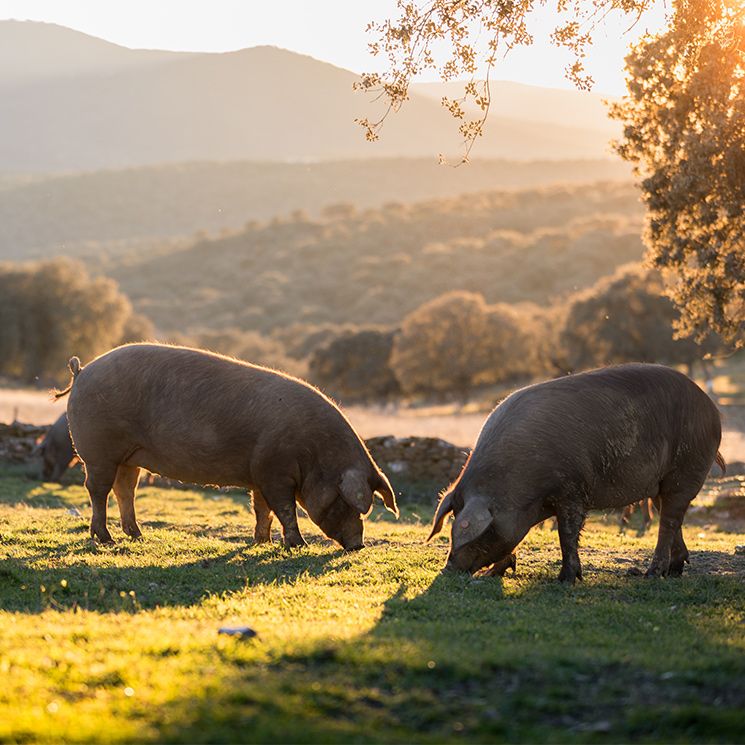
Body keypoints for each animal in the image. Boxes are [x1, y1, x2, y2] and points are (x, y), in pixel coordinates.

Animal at [54, 342, 398, 548]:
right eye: (346, 502)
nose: (358, 546)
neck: (314, 454)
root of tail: (81, 371)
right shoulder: (274, 471)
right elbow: (284, 509)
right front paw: (297, 545)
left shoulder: (259, 473)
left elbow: (262, 510)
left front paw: (262, 543)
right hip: (98, 451)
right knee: (97, 490)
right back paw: (106, 540)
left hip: (129, 456)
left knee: (125, 489)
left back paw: (137, 536)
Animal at [428, 364, 724, 584]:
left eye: (480, 533)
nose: (448, 569)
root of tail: (711, 409)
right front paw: (495, 572)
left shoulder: (571, 490)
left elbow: (567, 533)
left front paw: (566, 579)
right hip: (661, 483)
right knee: (671, 516)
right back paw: (674, 570)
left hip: (686, 468)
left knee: (670, 520)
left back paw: (652, 574)